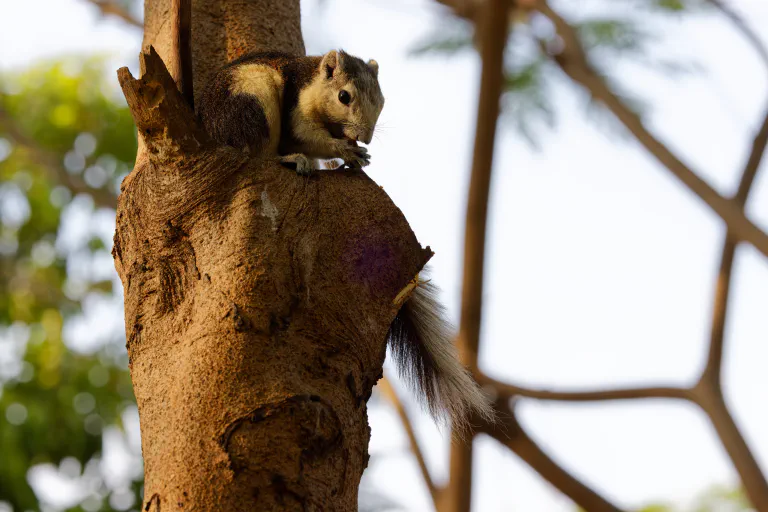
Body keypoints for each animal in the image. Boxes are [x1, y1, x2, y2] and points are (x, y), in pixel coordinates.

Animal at [198, 50, 496, 432]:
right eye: (344, 96)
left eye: (382, 99)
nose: (364, 138)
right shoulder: (296, 107)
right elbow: (305, 135)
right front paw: (345, 151)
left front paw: (353, 153)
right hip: (250, 101)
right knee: (256, 151)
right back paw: (291, 160)